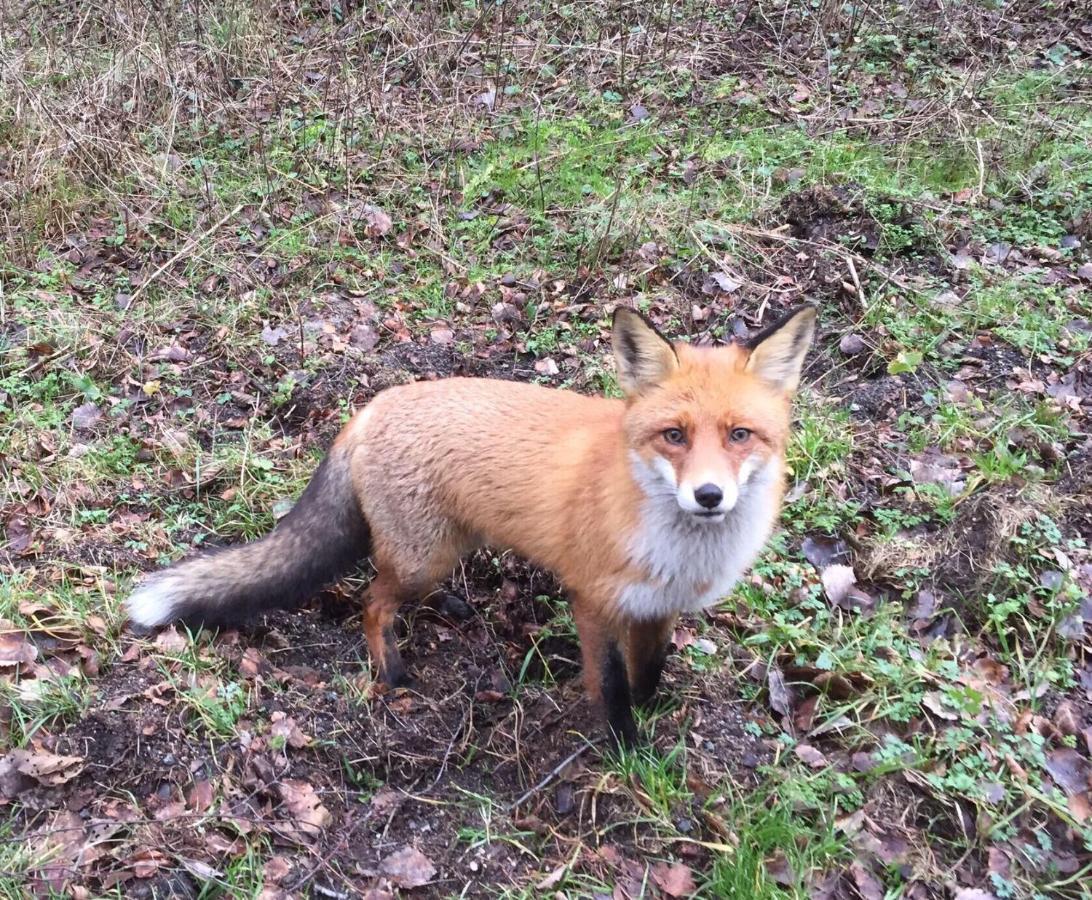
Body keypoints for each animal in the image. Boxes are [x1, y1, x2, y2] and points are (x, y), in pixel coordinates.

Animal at [127, 301, 816, 747]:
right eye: (674, 436)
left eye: (740, 435)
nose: (709, 496)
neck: (681, 549)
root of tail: (371, 407)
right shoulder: (593, 599)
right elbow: (612, 685)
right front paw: (628, 751)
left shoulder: (658, 605)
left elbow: (649, 671)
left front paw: (654, 710)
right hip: (421, 557)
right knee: (371, 602)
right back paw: (391, 669)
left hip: (448, 547)